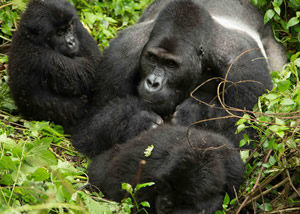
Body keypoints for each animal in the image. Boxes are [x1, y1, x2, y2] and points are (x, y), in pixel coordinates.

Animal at [8, 0, 101, 131]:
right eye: (60, 33)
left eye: (69, 27)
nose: (72, 41)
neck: (33, 38)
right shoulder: (45, 58)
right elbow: (93, 73)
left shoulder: (78, 27)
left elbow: (95, 59)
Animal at [71, 0, 286, 157]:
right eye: (152, 58)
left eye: (171, 64)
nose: (153, 83)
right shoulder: (120, 54)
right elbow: (90, 127)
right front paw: (138, 121)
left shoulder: (244, 67)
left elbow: (244, 140)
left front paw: (195, 114)